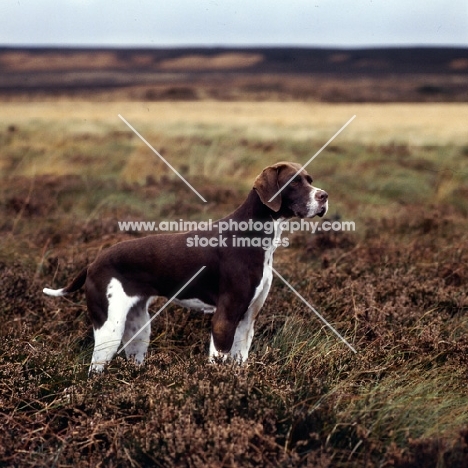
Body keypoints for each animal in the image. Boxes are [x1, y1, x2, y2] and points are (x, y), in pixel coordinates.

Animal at [44, 162, 330, 372]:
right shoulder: (224, 319)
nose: (324, 196)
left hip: (138, 329)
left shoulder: (247, 319)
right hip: (109, 328)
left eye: (310, 179)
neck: (253, 235)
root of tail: (93, 262)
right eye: (294, 182)